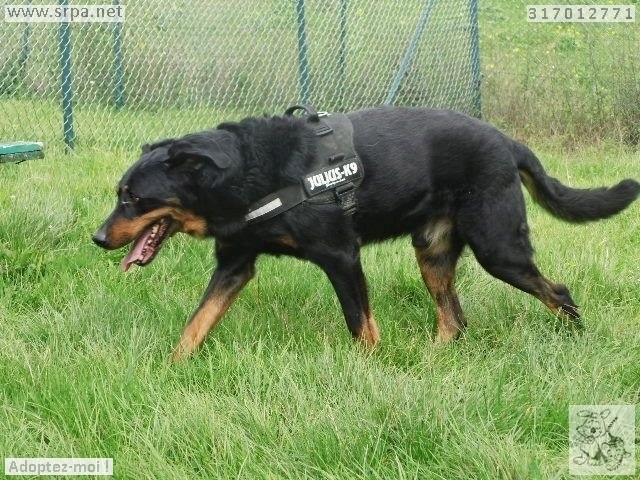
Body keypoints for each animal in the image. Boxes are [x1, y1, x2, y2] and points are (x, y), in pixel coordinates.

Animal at [91, 106, 640, 360]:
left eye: (134, 198)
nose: (97, 238)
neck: (247, 173)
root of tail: (507, 141)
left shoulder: (341, 256)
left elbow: (361, 326)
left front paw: (370, 370)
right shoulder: (235, 263)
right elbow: (196, 323)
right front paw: (170, 367)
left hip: (498, 247)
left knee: (557, 291)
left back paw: (575, 339)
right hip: (432, 251)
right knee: (455, 319)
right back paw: (433, 359)